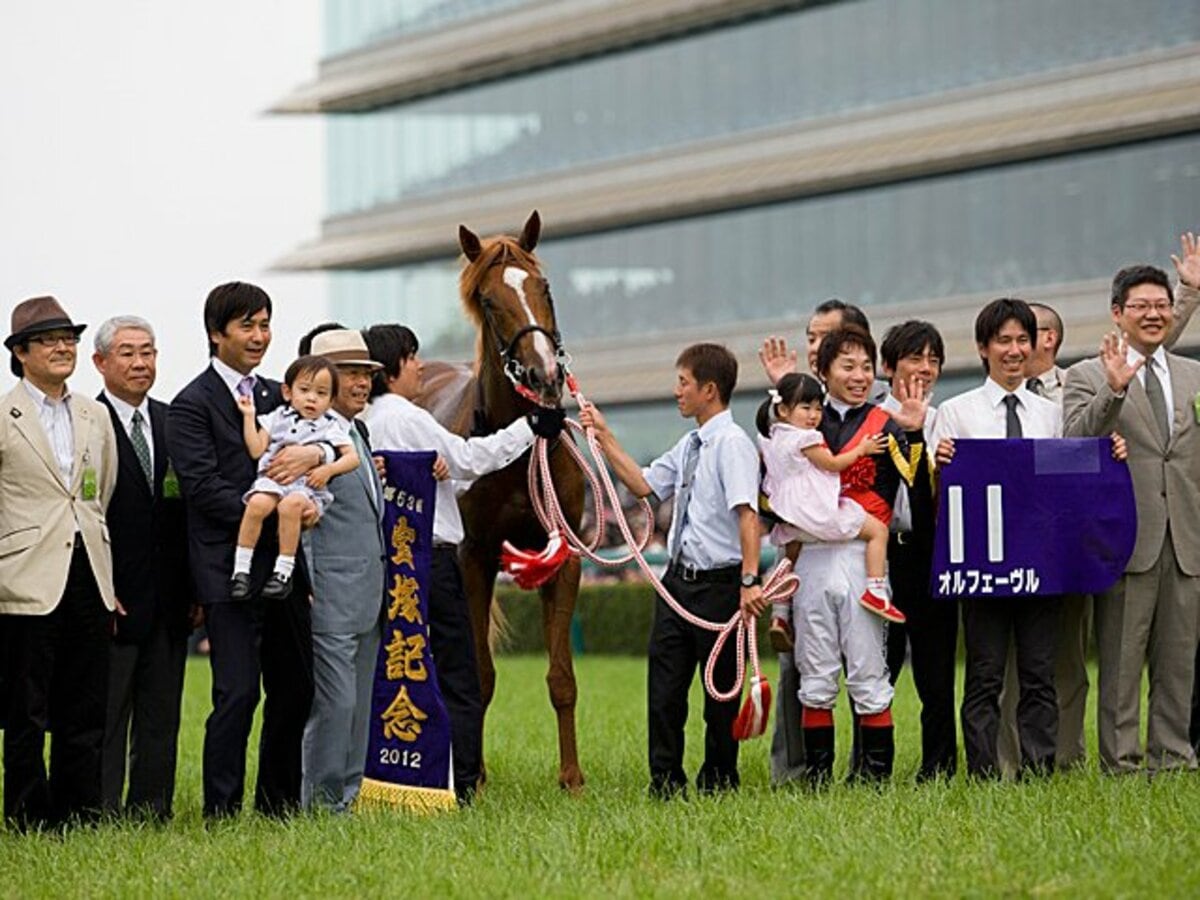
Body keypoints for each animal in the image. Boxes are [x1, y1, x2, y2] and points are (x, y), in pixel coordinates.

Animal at [420, 211, 588, 787]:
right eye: (489, 301)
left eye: (545, 288)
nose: (546, 375)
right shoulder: (473, 558)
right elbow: (480, 675)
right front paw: (474, 776)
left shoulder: (563, 556)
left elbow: (561, 677)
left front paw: (571, 779)